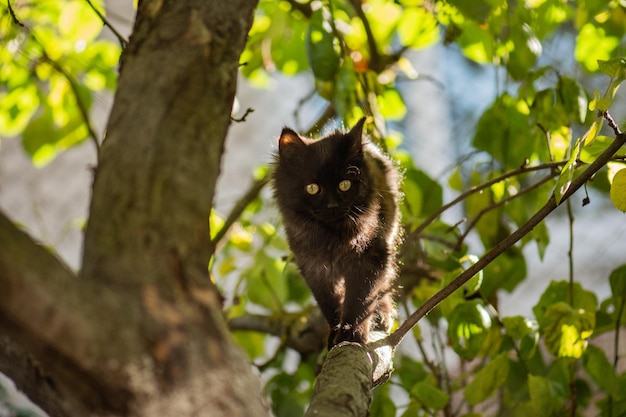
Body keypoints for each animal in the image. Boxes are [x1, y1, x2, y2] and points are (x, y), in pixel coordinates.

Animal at [272, 118, 400, 348]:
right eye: (312, 188)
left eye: (344, 185)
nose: (332, 205)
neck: (332, 236)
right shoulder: (314, 268)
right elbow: (330, 304)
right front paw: (335, 331)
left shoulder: (369, 258)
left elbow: (360, 301)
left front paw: (352, 334)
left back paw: (383, 315)